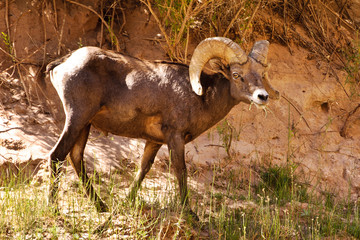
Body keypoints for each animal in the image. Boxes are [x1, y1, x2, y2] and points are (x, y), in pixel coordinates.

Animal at [46, 37, 280, 214]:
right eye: (236, 75)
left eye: (261, 75)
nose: (263, 96)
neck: (201, 97)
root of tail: (64, 63)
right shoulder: (175, 137)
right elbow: (181, 171)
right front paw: (189, 213)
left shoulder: (154, 141)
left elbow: (143, 169)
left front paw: (127, 201)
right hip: (76, 118)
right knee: (57, 156)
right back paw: (54, 210)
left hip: (84, 125)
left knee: (75, 157)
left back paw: (101, 207)